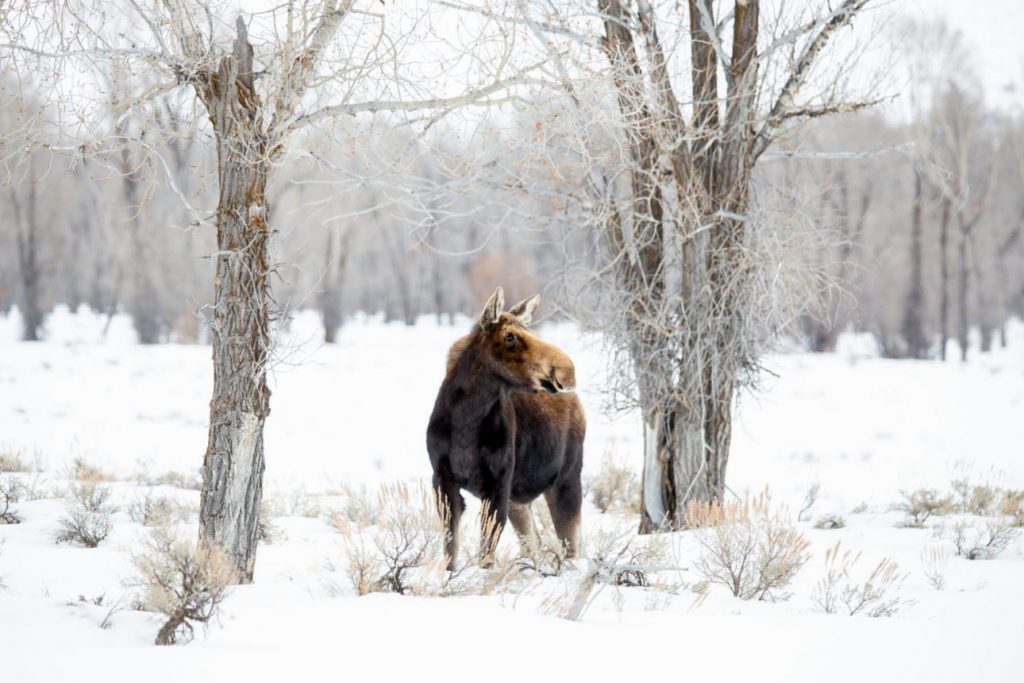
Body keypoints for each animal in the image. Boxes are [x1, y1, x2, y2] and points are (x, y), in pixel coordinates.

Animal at [423, 286, 585, 569]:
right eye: (510, 336)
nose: (566, 371)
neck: (466, 420)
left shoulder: (498, 482)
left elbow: (485, 555)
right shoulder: (443, 480)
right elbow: (450, 552)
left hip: (567, 480)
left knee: (570, 548)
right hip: (521, 500)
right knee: (535, 543)